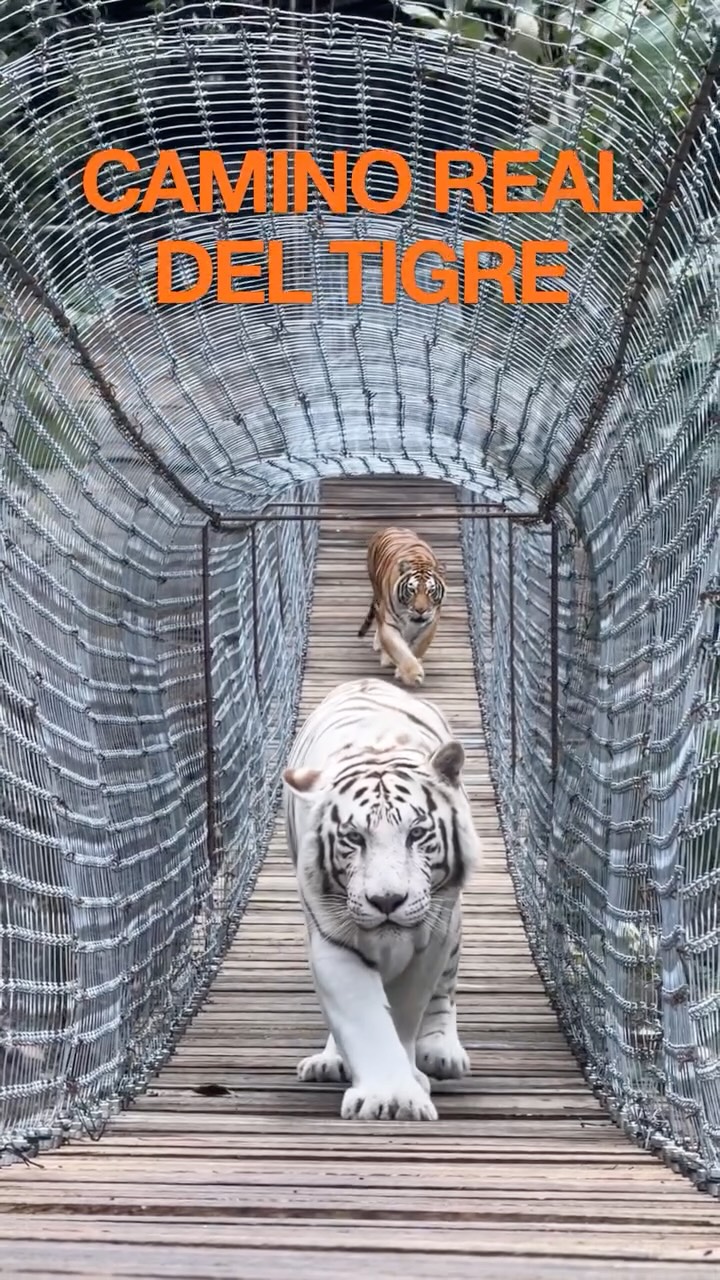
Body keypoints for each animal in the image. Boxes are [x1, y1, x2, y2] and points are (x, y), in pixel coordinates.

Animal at [283, 677, 480, 1122]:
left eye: (417, 834)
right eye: (354, 838)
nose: (387, 900)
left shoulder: (433, 933)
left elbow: (407, 1010)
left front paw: (407, 1086)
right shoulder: (331, 936)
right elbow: (363, 1017)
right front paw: (388, 1096)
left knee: (445, 991)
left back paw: (440, 1052)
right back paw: (331, 1060)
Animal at [357, 527, 446, 688]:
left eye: (431, 590)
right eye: (412, 589)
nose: (420, 610)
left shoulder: (430, 624)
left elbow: (417, 648)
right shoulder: (389, 624)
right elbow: (399, 650)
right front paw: (413, 675)